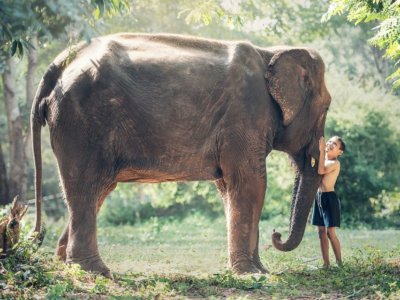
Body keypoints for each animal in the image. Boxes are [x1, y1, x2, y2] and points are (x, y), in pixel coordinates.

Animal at [31, 32, 332, 276]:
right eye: (328, 106)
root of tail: (60, 63)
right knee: (86, 185)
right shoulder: (245, 116)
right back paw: (95, 271)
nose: (276, 234)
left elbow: (228, 188)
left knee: (98, 189)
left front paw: (259, 271)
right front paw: (253, 274)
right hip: (81, 123)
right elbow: (251, 184)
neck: (271, 52)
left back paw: (66, 263)